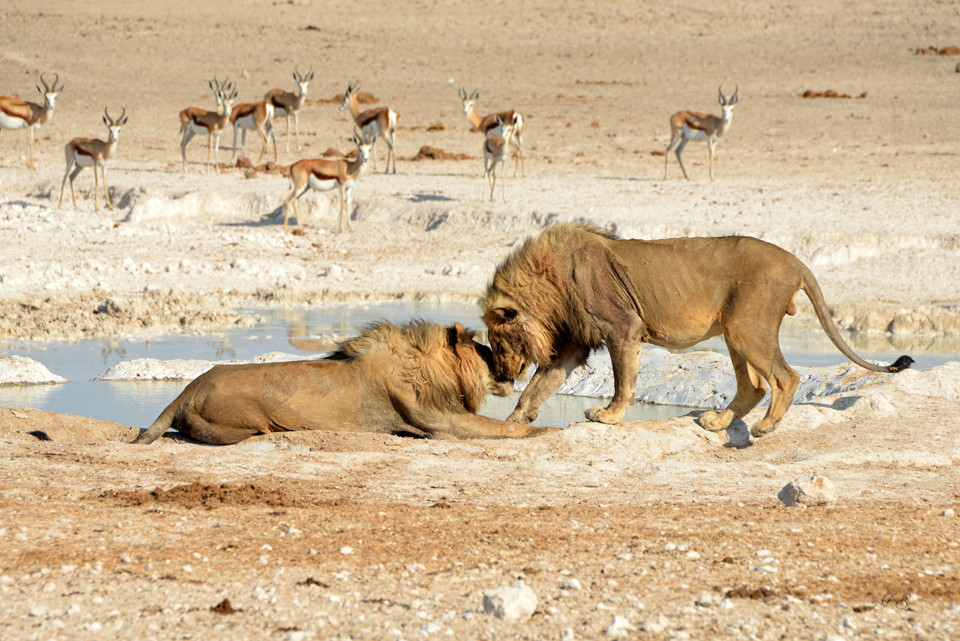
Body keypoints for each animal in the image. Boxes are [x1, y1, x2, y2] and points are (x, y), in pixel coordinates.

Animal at [134, 320, 556, 444]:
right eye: (488, 352)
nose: (517, 368)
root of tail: (186, 392)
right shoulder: (443, 423)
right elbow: (503, 428)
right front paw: (550, 430)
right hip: (250, 418)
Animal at [484, 222, 912, 438]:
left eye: (499, 341)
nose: (500, 377)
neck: (547, 282)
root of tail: (795, 261)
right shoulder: (573, 344)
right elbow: (539, 387)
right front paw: (511, 422)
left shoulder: (624, 327)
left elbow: (623, 380)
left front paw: (608, 415)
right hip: (736, 331)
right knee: (754, 386)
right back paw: (718, 422)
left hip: (745, 327)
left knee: (785, 377)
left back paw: (766, 426)